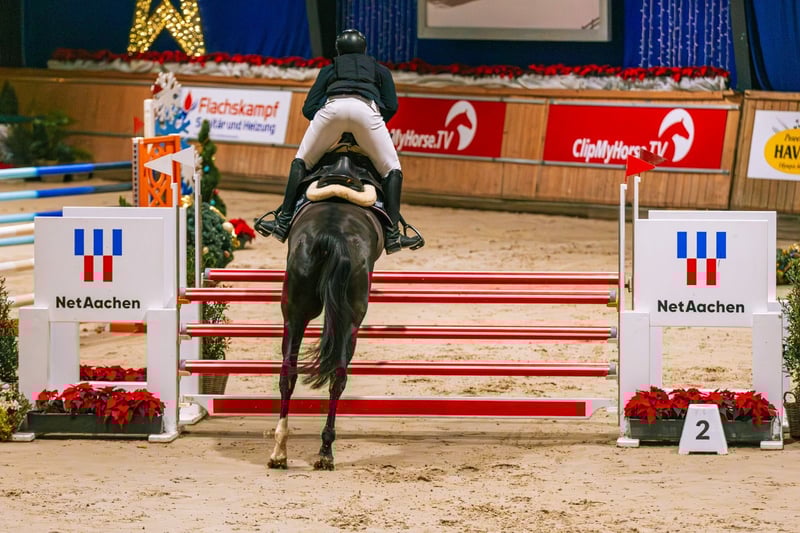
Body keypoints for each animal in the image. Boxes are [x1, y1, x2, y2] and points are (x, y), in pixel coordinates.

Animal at [263, 152, 386, 471]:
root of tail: (333, 235)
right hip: (350, 321)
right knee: (338, 377)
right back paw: (325, 452)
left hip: (294, 311)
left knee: (289, 373)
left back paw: (281, 451)